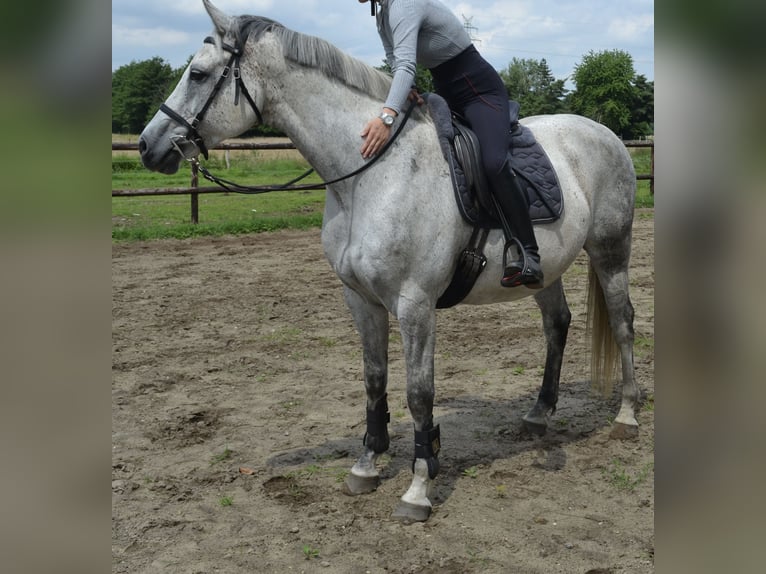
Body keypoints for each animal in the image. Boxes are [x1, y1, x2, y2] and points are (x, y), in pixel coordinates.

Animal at [140, 0, 640, 520]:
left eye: (198, 74)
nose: (146, 145)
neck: (369, 174)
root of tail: (605, 133)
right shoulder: (361, 300)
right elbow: (374, 380)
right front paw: (367, 464)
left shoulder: (415, 305)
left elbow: (419, 393)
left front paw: (418, 487)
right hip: (544, 271)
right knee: (557, 324)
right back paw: (539, 414)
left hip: (611, 250)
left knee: (623, 321)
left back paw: (627, 415)